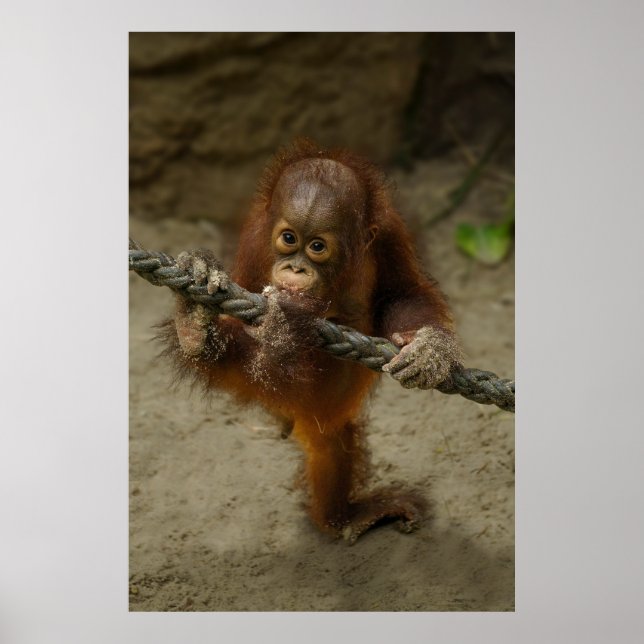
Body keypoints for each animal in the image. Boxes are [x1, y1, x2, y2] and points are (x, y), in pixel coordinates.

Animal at [161, 138, 462, 543]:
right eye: (289, 239)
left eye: (317, 246)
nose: (295, 268)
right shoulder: (256, 241)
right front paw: (209, 279)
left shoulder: (389, 234)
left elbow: (403, 293)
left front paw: (429, 350)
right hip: (273, 391)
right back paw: (196, 325)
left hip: (321, 416)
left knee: (331, 443)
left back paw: (344, 518)